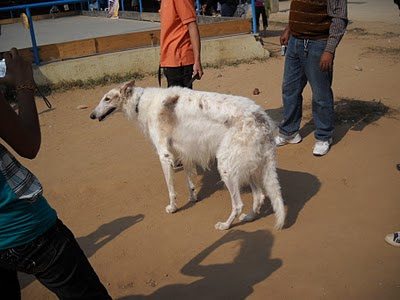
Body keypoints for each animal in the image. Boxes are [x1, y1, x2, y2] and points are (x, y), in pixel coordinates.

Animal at [90, 81, 286, 231]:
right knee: (259, 197)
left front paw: (173, 207)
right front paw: (193, 197)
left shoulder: (164, 155)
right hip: (248, 165)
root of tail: (262, 119)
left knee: (238, 205)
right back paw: (249, 217)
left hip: (227, 167)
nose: (92, 115)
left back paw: (226, 225)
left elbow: (171, 189)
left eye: (107, 98)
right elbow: (188, 179)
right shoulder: (182, 151)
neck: (142, 102)